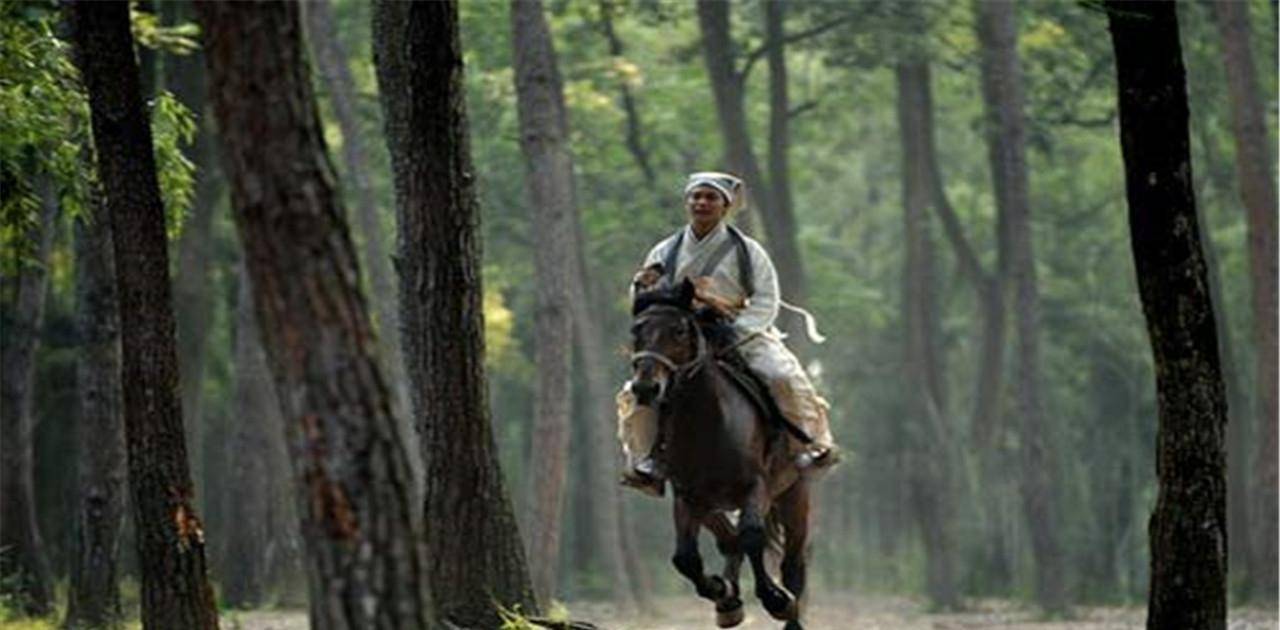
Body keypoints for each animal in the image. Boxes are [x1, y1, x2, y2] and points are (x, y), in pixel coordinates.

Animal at [632, 281, 819, 630]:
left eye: (679, 330)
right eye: (636, 329)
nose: (645, 387)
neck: (707, 425)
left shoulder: (755, 486)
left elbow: (753, 537)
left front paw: (775, 599)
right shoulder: (688, 496)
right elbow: (685, 558)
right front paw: (722, 592)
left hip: (793, 496)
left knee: (792, 564)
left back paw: (788, 609)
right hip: (712, 505)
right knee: (729, 542)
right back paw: (728, 601)